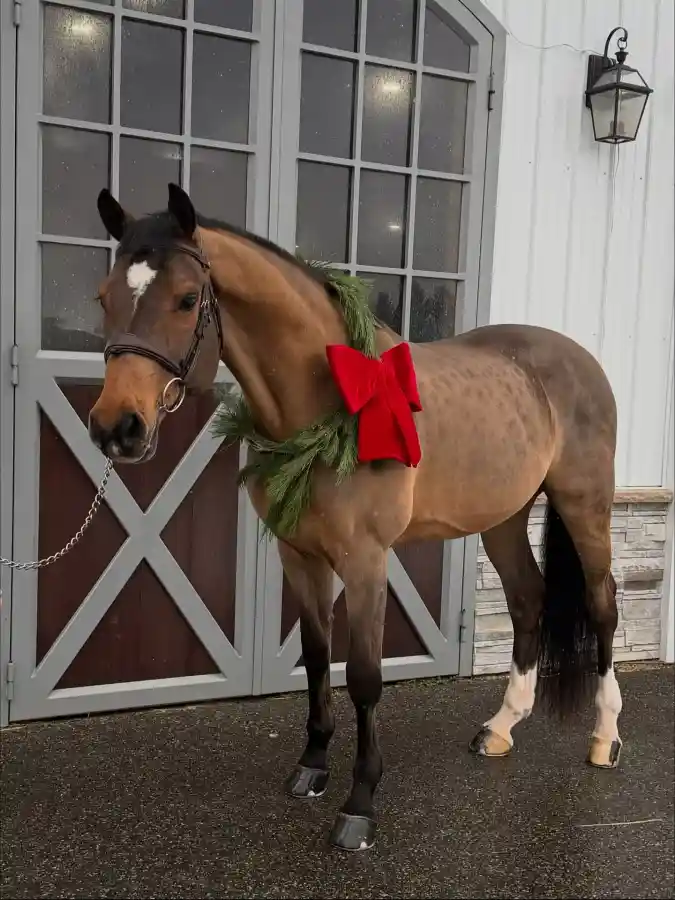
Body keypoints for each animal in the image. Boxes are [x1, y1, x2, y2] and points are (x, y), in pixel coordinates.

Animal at [88, 183, 622, 852]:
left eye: (187, 300)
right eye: (104, 297)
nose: (117, 428)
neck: (330, 398)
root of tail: (578, 360)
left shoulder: (366, 560)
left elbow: (365, 674)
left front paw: (360, 803)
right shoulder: (298, 555)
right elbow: (317, 658)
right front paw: (312, 765)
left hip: (585, 505)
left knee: (603, 606)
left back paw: (604, 738)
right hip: (503, 515)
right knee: (528, 598)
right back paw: (501, 727)